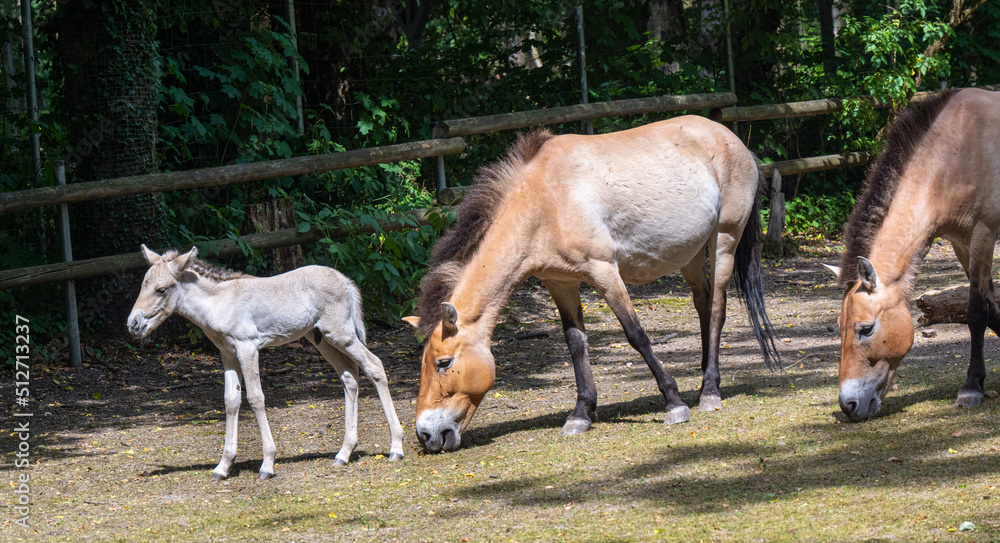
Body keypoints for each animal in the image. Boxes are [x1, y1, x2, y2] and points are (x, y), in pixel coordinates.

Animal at [127, 245, 404, 479]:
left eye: (161, 289)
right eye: (143, 285)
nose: (133, 324)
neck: (221, 301)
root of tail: (344, 280)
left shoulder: (247, 348)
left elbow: (256, 398)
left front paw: (268, 464)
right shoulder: (228, 354)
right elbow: (231, 401)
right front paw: (223, 467)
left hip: (341, 335)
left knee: (374, 366)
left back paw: (396, 447)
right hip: (322, 339)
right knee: (349, 375)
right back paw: (344, 453)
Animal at [403, 116, 782, 453]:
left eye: (443, 363)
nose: (425, 435)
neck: (546, 201)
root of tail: (732, 140)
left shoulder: (604, 272)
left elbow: (636, 335)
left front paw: (673, 403)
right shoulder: (560, 283)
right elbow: (576, 344)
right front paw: (581, 414)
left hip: (724, 240)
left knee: (717, 308)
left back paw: (710, 393)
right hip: (689, 254)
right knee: (703, 305)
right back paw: (705, 379)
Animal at [826, 88, 1000, 422]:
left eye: (866, 329)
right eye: (840, 326)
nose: (848, 405)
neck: (954, 156)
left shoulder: (984, 234)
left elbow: (977, 312)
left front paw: (971, 387)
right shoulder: (962, 243)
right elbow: (994, 307)